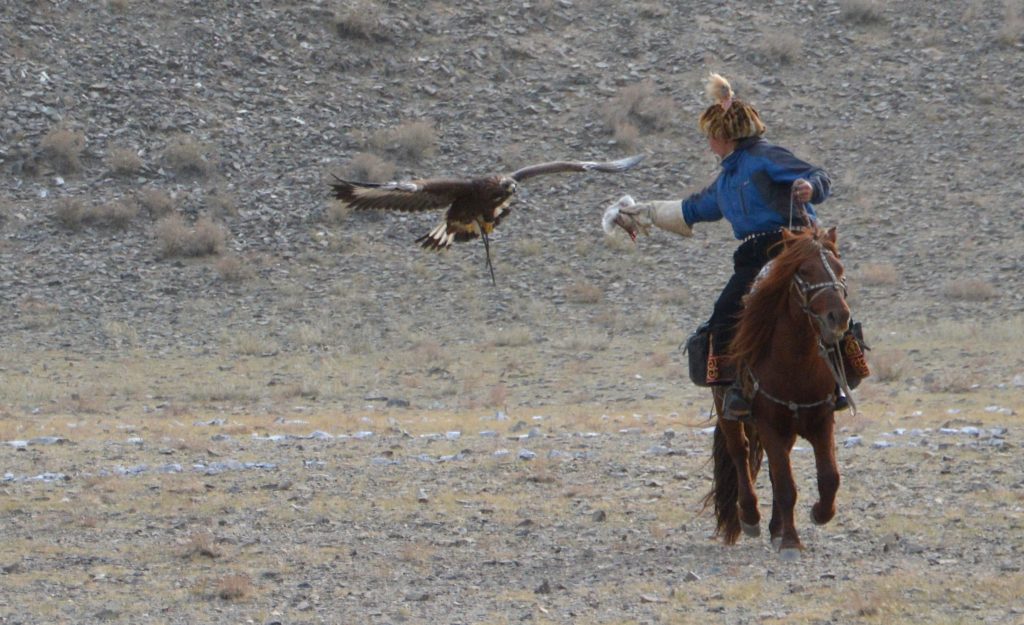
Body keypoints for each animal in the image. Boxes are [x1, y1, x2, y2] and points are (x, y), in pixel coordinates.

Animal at [708, 226, 851, 557]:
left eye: (840, 269)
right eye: (804, 271)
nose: (838, 317)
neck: (795, 363)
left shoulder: (821, 421)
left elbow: (829, 478)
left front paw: (819, 514)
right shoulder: (769, 424)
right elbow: (786, 485)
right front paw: (790, 542)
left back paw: (775, 528)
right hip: (729, 412)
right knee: (740, 453)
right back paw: (750, 518)